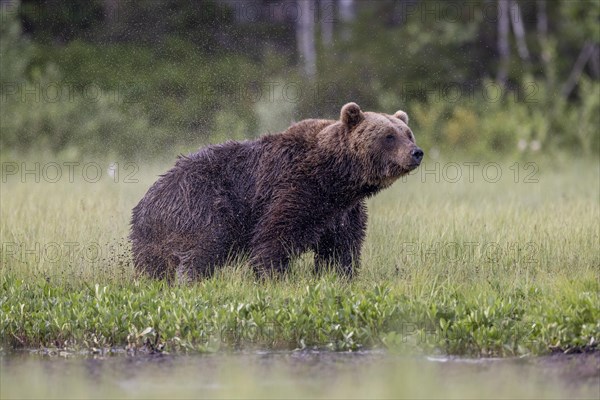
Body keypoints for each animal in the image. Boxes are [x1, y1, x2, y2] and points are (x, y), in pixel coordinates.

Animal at [130, 101, 422, 280]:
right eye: (389, 136)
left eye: (408, 133)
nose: (416, 152)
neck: (335, 179)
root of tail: (145, 201)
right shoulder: (294, 189)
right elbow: (275, 238)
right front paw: (272, 276)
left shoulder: (343, 211)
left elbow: (341, 249)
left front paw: (338, 275)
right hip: (199, 206)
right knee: (203, 247)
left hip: (153, 237)